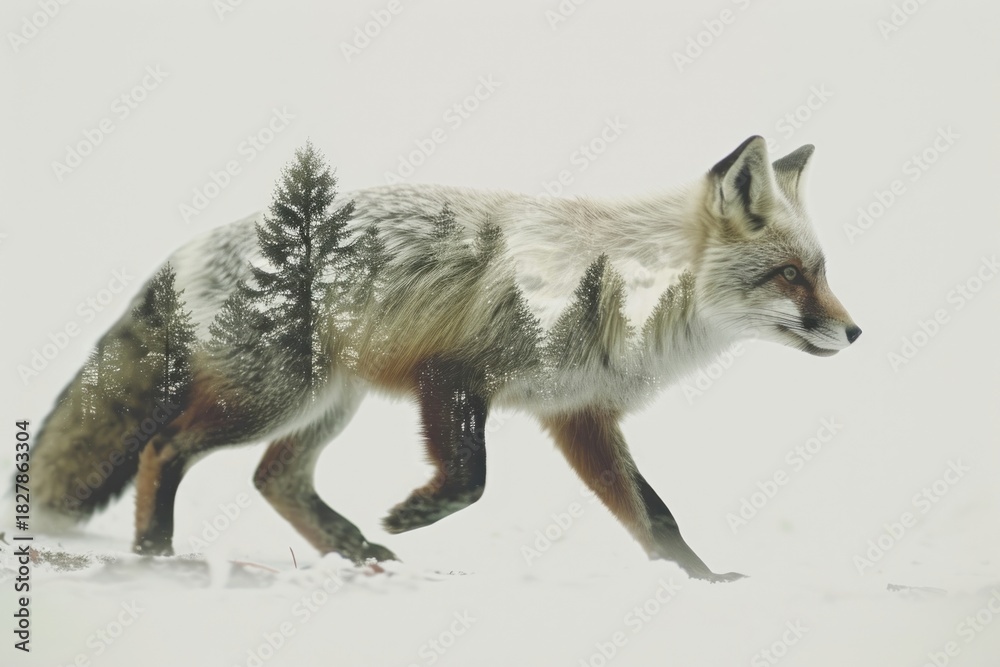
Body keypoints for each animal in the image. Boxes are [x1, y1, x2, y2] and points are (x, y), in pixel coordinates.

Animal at [27, 136, 859, 582]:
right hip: (271, 396)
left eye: (821, 271)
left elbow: (654, 516)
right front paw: (414, 513)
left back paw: (353, 551)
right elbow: (471, 478)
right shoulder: (455, 374)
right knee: (163, 449)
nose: (855, 333)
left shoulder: (578, 413)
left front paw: (701, 579)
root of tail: (189, 246)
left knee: (275, 478)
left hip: (329, 402)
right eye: (792, 275)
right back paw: (156, 553)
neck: (624, 287)